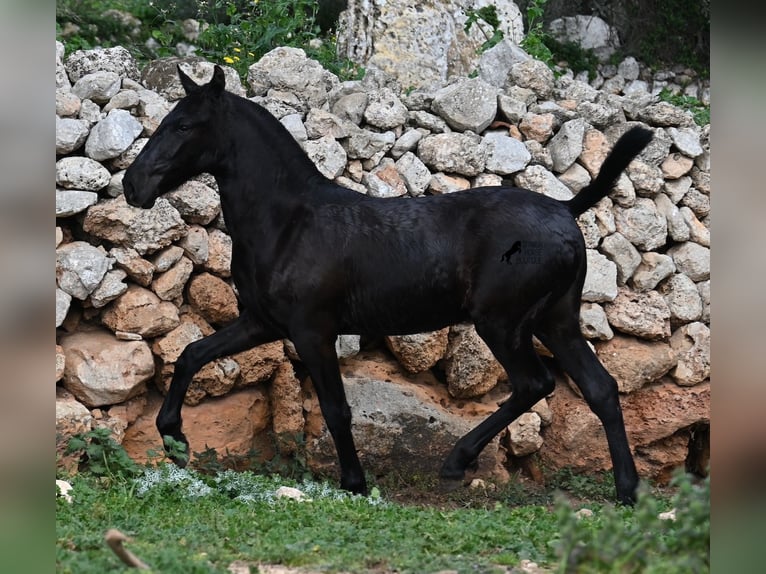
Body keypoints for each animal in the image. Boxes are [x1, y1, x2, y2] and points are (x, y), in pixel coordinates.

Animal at [124, 65, 656, 504]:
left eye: (184, 126)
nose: (133, 185)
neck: (289, 222)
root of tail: (566, 209)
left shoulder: (312, 330)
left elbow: (336, 408)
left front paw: (355, 483)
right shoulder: (261, 322)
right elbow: (192, 354)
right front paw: (173, 437)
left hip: (502, 323)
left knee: (535, 383)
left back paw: (457, 462)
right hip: (555, 320)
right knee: (599, 388)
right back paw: (626, 490)